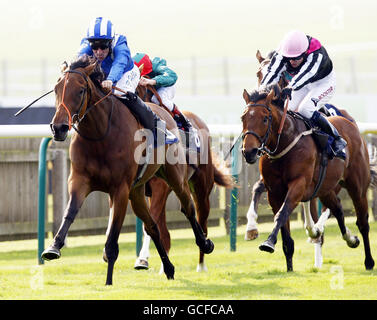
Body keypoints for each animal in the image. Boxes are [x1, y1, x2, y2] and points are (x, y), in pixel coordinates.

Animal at [41, 55, 214, 284]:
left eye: (80, 90)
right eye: (56, 89)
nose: (59, 128)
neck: (100, 134)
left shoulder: (120, 189)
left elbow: (113, 240)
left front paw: (108, 282)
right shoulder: (79, 180)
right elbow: (70, 212)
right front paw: (53, 247)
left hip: (176, 177)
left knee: (189, 208)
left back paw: (205, 244)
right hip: (137, 191)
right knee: (153, 226)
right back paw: (168, 268)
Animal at [134, 83, 234, 272]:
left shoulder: (160, 187)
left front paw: (142, 259)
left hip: (201, 190)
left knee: (202, 222)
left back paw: (201, 264)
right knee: (166, 231)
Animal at [241, 83, 376, 272]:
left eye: (265, 119)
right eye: (243, 118)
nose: (249, 152)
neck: (285, 142)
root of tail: (350, 124)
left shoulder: (299, 184)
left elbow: (282, 213)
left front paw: (268, 242)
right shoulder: (274, 192)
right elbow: (283, 225)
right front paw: (289, 267)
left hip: (357, 187)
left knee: (362, 222)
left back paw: (369, 261)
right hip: (326, 188)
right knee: (338, 208)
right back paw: (349, 238)